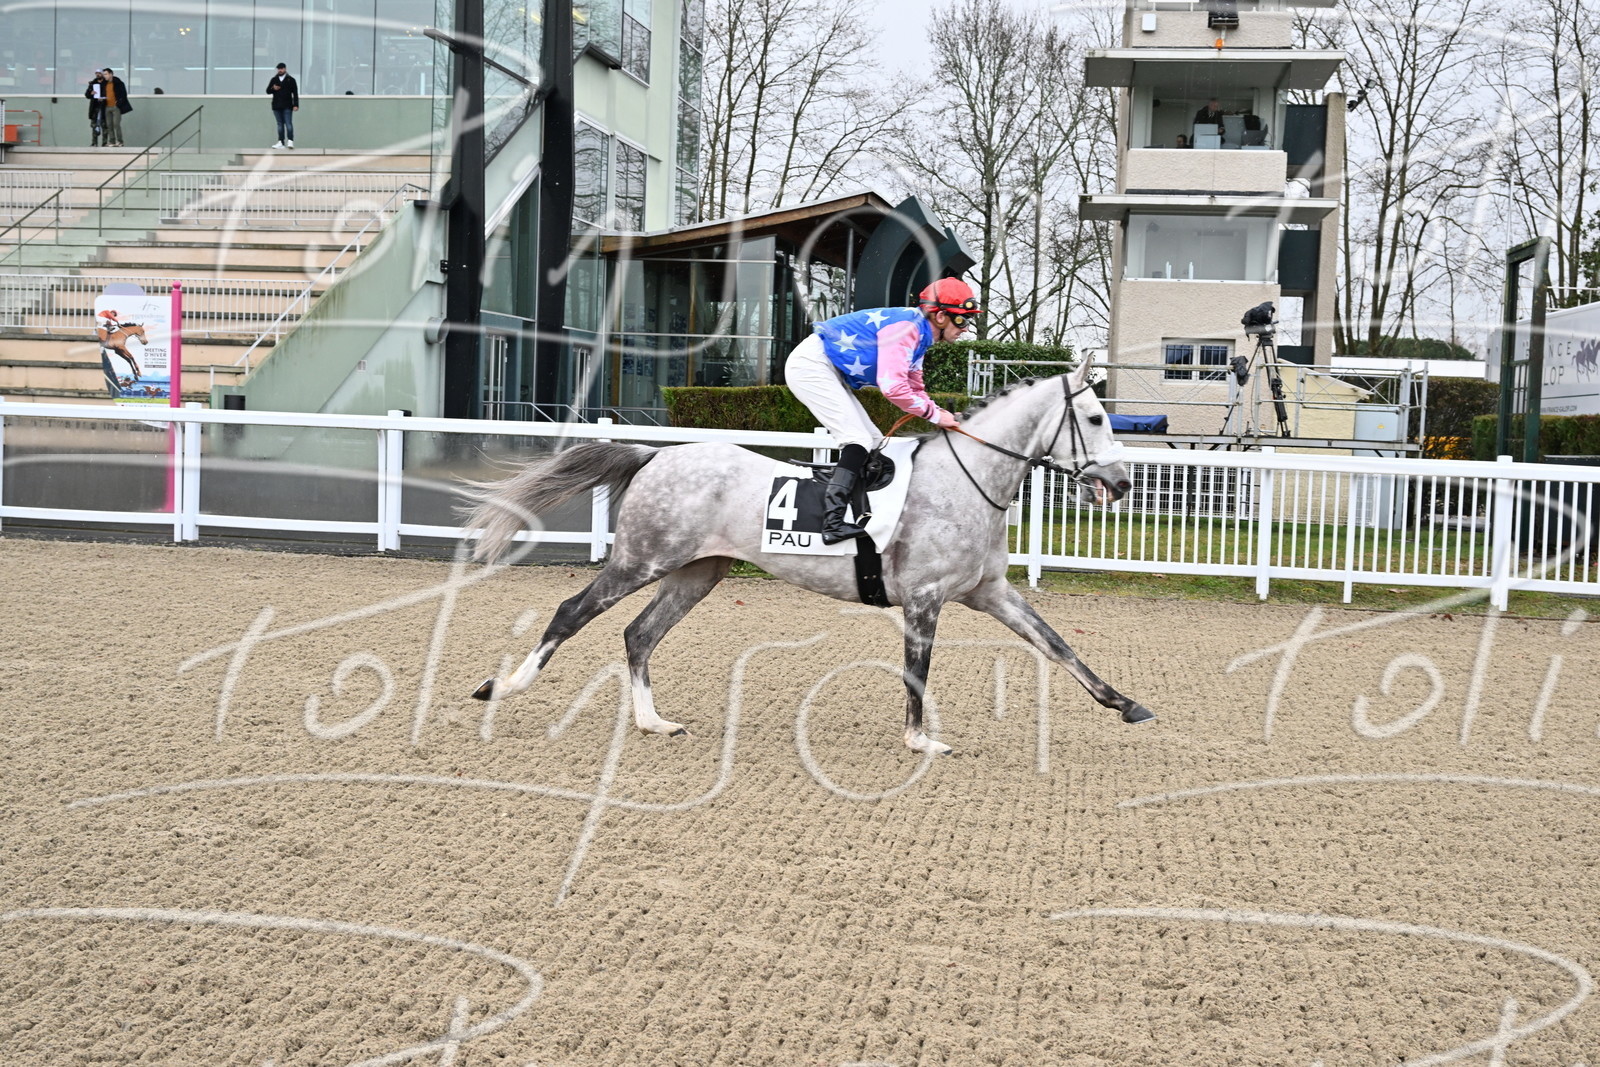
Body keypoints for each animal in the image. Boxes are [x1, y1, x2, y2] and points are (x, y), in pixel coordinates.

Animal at [463, 363, 1154, 756]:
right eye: (1095, 417)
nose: (1122, 482)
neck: (967, 480)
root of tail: (654, 454)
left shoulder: (990, 592)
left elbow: (1057, 645)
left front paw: (1125, 703)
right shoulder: (925, 600)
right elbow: (917, 673)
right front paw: (920, 740)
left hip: (697, 573)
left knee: (639, 634)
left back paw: (653, 722)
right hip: (640, 560)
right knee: (572, 611)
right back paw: (504, 685)